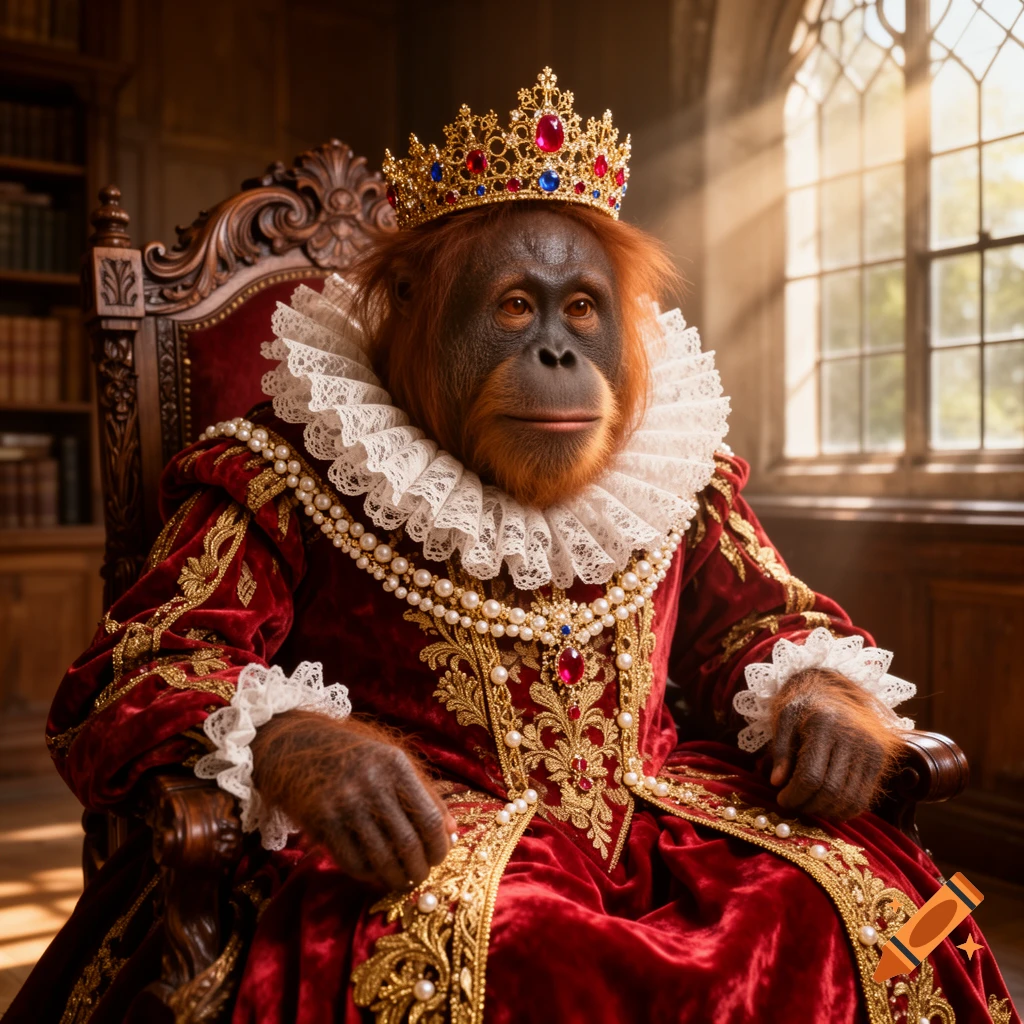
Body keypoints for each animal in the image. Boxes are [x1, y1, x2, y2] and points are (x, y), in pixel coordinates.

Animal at [246, 200, 909, 892]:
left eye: (580, 308)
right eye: (516, 306)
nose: (559, 353)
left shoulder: (715, 490)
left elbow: (769, 623)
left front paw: (831, 730)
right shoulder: (255, 467)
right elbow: (211, 654)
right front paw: (354, 776)